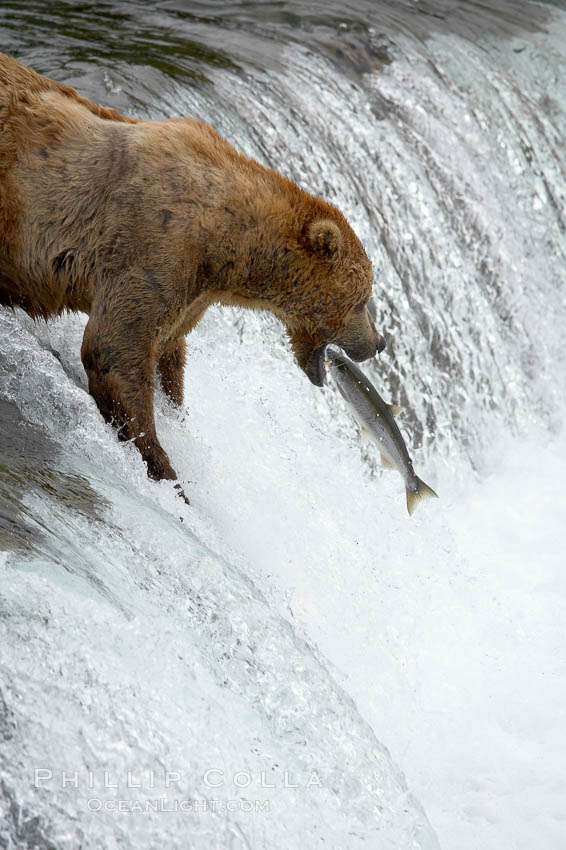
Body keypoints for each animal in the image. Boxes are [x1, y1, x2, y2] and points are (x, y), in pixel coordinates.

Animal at [0, 51, 386, 490]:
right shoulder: (154, 247)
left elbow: (169, 356)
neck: (228, 244)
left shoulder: (189, 294)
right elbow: (114, 349)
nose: (378, 342)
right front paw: (168, 473)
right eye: (363, 300)